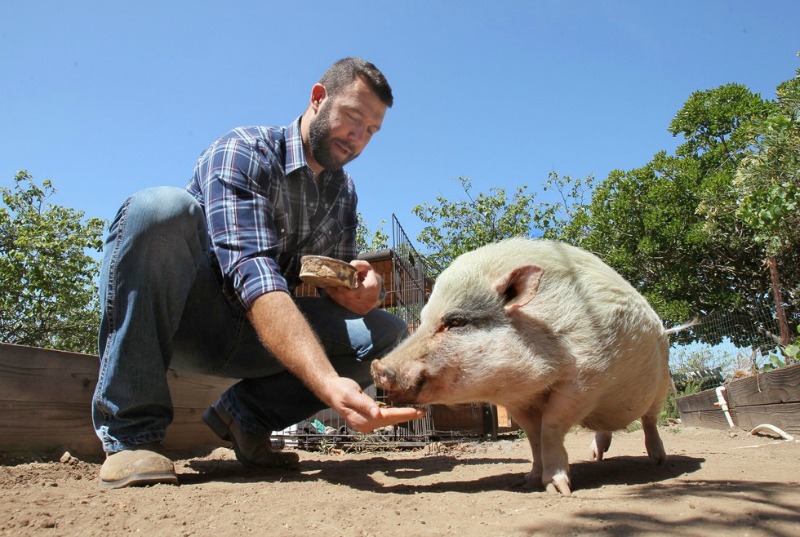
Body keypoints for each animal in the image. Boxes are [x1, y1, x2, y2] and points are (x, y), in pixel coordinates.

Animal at [372, 239, 684, 494]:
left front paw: (559, 490)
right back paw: (596, 457)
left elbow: (550, 428)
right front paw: (525, 481)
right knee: (604, 430)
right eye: (423, 320)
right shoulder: (517, 401)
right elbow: (533, 437)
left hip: (661, 384)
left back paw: (659, 461)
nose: (378, 367)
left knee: (650, 421)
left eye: (456, 321)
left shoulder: (586, 381)